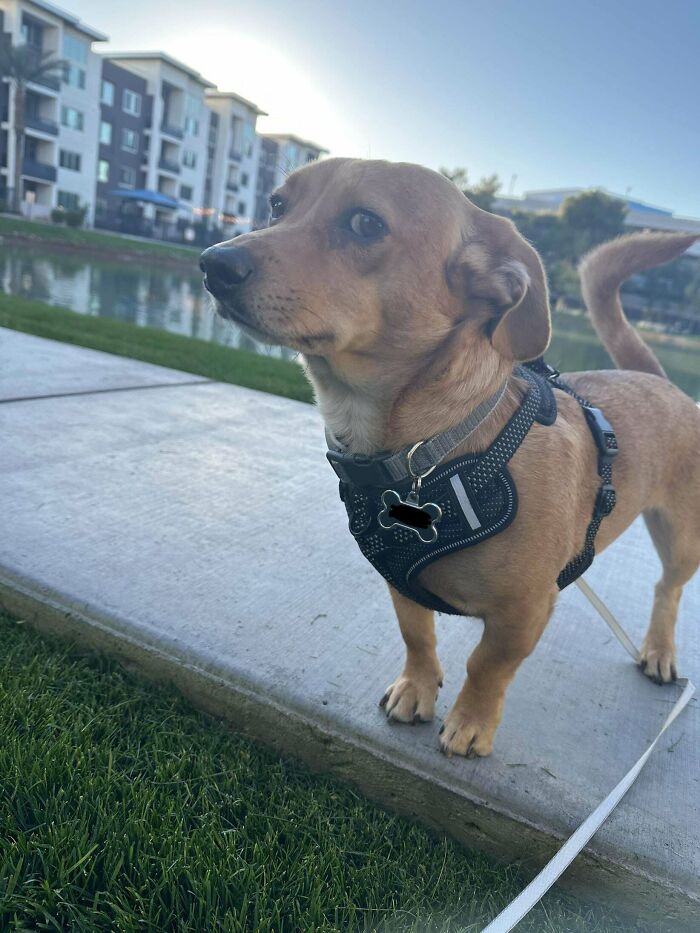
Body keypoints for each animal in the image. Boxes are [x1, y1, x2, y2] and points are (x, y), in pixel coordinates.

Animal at [198, 158, 700, 756]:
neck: (427, 451)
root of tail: (659, 381)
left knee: (668, 588)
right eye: (277, 206)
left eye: (365, 223)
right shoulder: (400, 583)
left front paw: (471, 722)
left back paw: (660, 649)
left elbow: (487, 666)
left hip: (682, 538)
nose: (213, 263)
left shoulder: (524, 612)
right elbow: (417, 636)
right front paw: (417, 689)